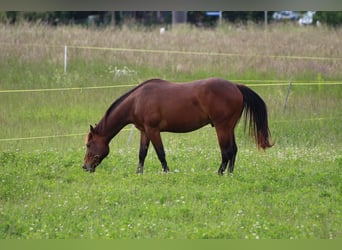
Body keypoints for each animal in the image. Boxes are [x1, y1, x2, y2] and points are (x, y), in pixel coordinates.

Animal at [83, 77, 272, 175]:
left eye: (88, 145)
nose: (85, 167)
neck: (137, 100)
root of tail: (235, 86)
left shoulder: (153, 130)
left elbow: (160, 153)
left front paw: (166, 172)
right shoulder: (144, 131)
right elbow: (142, 153)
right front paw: (139, 173)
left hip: (222, 127)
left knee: (226, 152)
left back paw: (219, 173)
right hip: (229, 128)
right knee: (233, 150)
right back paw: (230, 174)